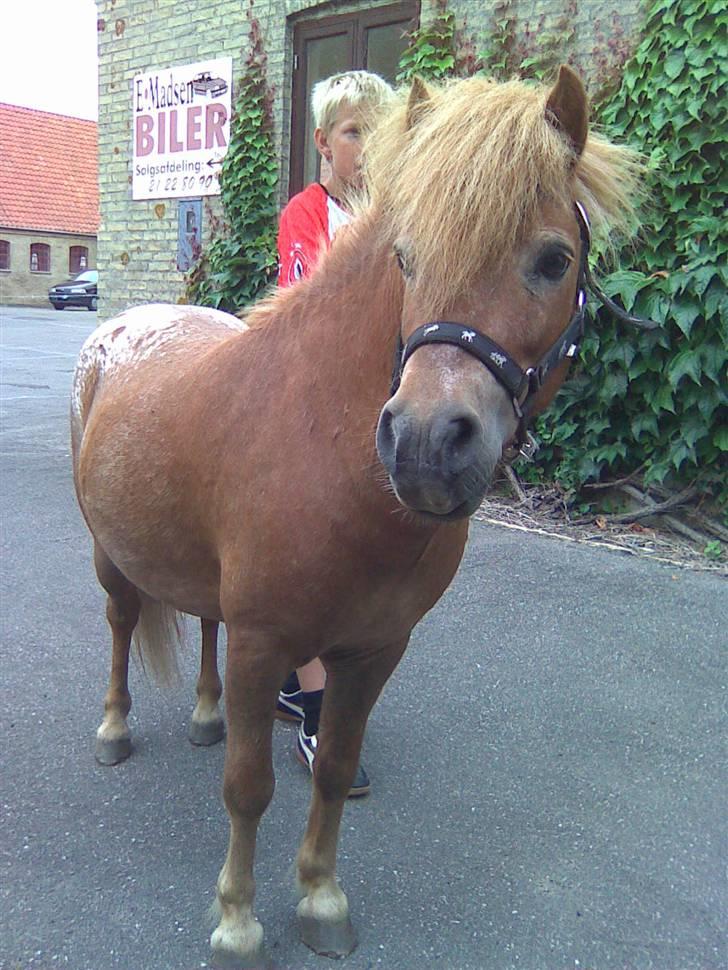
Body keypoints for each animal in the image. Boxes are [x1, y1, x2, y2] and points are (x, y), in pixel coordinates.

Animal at [72, 70, 636, 968]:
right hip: (110, 557)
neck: (326, 449)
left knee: (201, 624)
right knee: (124, 624)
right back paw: (115, 729)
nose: (426, 445)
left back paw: (204, 715)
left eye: (554, 260)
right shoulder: (263, 643)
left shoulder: (374, 649)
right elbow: (249, 788)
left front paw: (322, 898)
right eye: (406, 258)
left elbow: (335, 768)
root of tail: (126, 326)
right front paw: (238, 922)